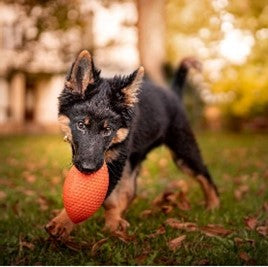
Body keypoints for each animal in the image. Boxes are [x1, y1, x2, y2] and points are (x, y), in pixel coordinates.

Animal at [45, 50, 219, 241]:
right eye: (81, 125)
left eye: (107, 130)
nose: (88, 169)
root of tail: (173, 94)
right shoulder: (88, 155)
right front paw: (113, 221)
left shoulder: (114, 163)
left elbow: (95, 199)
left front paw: (63, 222)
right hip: (135, 158)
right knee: (130, 190)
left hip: (183, 150)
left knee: (204, 174)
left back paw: (213, 204)